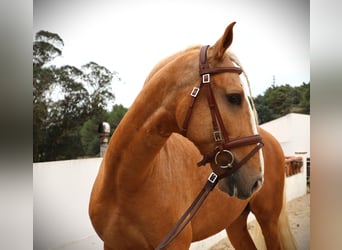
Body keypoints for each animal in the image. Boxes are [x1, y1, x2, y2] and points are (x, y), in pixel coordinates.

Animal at [89, 22, 296, 249]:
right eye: (234, 97)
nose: (257, 180)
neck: (124, 185)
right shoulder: (112, 244)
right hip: (234, 225)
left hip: (269, 221)